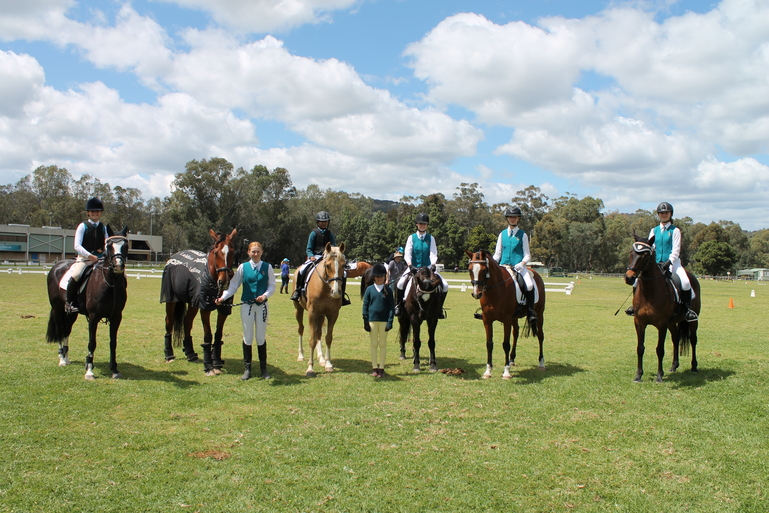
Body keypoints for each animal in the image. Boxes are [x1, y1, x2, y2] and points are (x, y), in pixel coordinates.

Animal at [46, 226, 129, 378]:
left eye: (125, 245)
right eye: (109, 245)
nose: (118, 266)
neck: (111, 283)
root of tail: (57, 266)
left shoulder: (116, 316)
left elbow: (113, 342)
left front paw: (114, 370)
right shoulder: (93, 316)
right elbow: (92, 343)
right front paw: (89, 370)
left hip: (71, 313)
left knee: (66, 330)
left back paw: (67, 357)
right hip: (57, 308)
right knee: (60, 330)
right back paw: (62, 359)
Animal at [160, 228, 237, 376]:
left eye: (232, 251)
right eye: (216, 252)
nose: (224, 282)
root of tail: (173, 257)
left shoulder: (223, 310)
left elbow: (218, 334)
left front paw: (216, 362)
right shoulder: (205, 308)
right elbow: (208, 335)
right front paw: (208, 366)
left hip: (192, 304)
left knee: (187, 323)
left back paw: (190, 354)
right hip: (171, 300)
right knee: (169, 322)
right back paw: (169, 355)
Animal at [292, 240, 344, 376]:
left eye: (344, 266)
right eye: (327, 266)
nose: (336, 292)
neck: (325, 288)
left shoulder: (332, 314)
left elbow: (328, 338)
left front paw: (328, 364)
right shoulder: (312, 314)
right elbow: (312, 339)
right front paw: (310, 368)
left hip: (321, 315)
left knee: (319, 333)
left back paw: (321, 359)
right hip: (298, 310)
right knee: (301, 329)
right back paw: (301, 355)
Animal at [462, 250, 544, 378]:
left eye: (484, 270)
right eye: (470, 270)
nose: (476, 294)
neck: (495, 290)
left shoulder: (506, 320)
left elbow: (506, 344)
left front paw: (506, 372)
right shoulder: (487, 320)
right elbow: (489, 344)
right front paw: (488, 371)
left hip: (539, 313)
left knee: (540, 335)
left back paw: (541, 363)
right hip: (514, 318)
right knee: (516, 333)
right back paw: (511, 360)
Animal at [620, 234, 700, 382]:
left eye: (645, 255)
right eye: (631, 252)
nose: (629, 278)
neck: (649, 292)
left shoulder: (661, 324)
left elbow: (660, 349)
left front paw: (659, 376)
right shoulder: (639, 323)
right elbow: (640, 348)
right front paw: (638, 375)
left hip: (693, 321)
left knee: (693, 339)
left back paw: (694, 366)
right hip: (672, 323)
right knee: (675, 339)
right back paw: (674, 366)